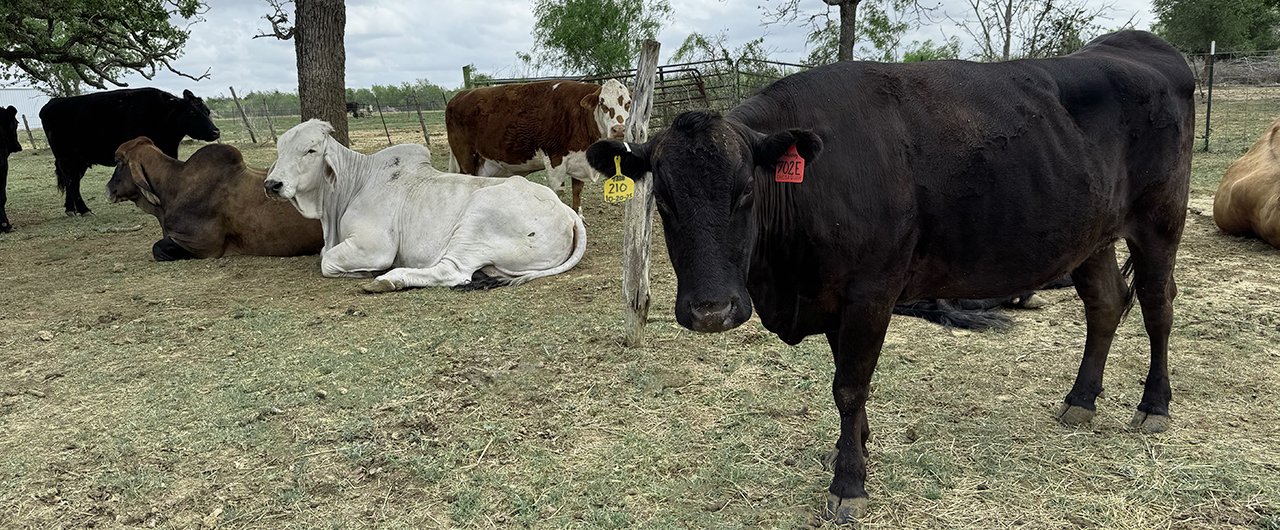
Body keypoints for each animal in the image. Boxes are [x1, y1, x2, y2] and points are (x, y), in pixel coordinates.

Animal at [39, 88, 221, 216]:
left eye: (207, 111)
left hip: (79, 160)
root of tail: (52, 104)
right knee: (71, 181)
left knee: (71, 180)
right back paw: (84, 210)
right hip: (67, 157)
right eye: (192, 112)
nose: (216, 132)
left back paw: (71, 209)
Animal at [264, 120, 586, 291]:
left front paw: (363, 273)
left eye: (310, 150)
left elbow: (327, 260)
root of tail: (567, 212)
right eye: (280, 150)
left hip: (475, 223)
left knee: (452, 272)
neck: (353, 185)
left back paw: (388, 280)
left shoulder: (375, 247)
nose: (272, 185)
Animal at [445, 78, 631, 215]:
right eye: (603, 103)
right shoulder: (555, 160)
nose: (619, 129)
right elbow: (559, 194)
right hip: (465, 156)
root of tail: (460, 95)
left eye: (628, 103)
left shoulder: (580, 162)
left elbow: (577, 194)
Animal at [585, 30, 1193, 522]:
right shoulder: (836, 297)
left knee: (1157, 304)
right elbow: (847, 383)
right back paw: (1081, 400)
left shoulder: (872, 290)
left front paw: (849, 482)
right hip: (1089, 233)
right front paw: (855, 447)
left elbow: (850, 385)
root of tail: (1144, 46)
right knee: (1106, 302)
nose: (711, 310)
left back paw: (1153, 407)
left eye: (745, 193)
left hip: (1160, 221)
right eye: (663, 200)